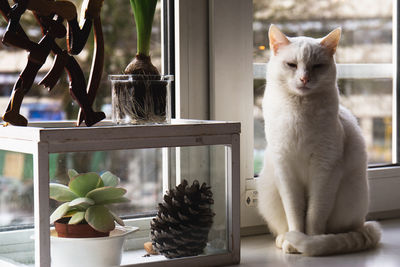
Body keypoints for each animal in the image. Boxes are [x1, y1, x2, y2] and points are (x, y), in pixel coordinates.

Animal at [256, 25, 382, 258]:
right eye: (292, 64)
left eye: (317, 66)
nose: (304, 79)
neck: (300, 111)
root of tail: (362, 224)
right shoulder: (286, 171)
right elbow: (295, 213)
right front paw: (294, 242)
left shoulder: (325, 170)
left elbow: (315, 214)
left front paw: (310, 241)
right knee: (283, 225)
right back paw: (283, 239)